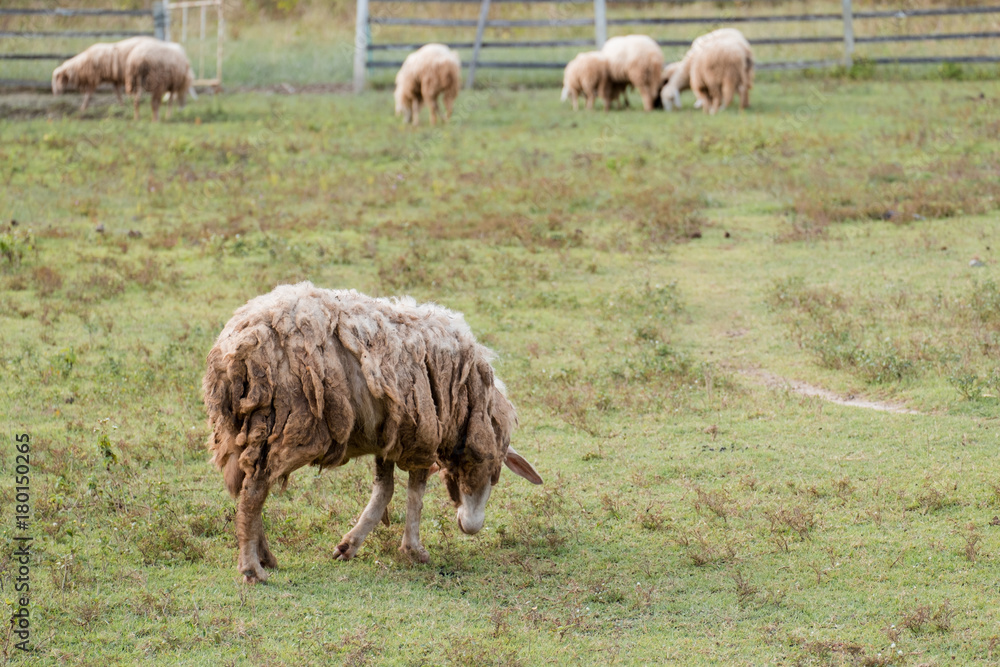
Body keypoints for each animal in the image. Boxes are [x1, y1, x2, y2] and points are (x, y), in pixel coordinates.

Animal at [203, 282, 543, 584]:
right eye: (491, 471)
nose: (471, 527)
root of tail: (236, 344)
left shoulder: (392, 433)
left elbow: (384, 490)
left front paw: (348, 545)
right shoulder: (422, 434)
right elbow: (415, 493)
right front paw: (414, 550)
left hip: (241, 430)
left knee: (248, 487)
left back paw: (266, 557)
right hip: (286, 423)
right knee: (254, 493)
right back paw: (252, 569)